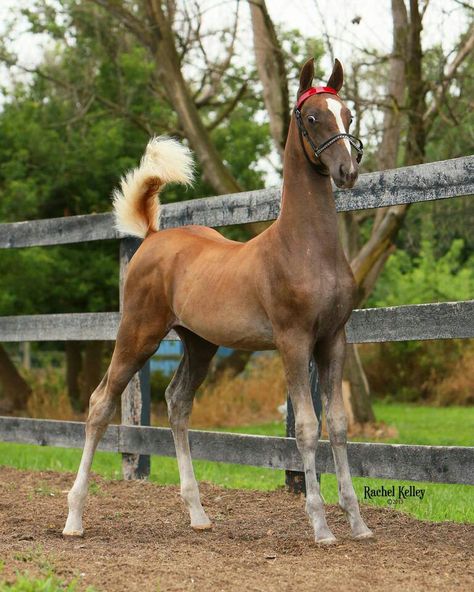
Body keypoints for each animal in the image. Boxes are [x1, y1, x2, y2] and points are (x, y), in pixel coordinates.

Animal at [63, 57, 374, 544]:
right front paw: (321, 527)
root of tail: (151, 236)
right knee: (100, 405)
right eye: (311, 117)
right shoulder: (293, 341)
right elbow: (307, 428)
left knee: (177, 403)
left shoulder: (333, 340)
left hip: (199, 343)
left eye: (348, 115)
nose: (347, 172)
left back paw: (198, 513)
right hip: (137, 334)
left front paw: (358, 524)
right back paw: (74, 518)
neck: (306, 248)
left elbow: (339, 425)